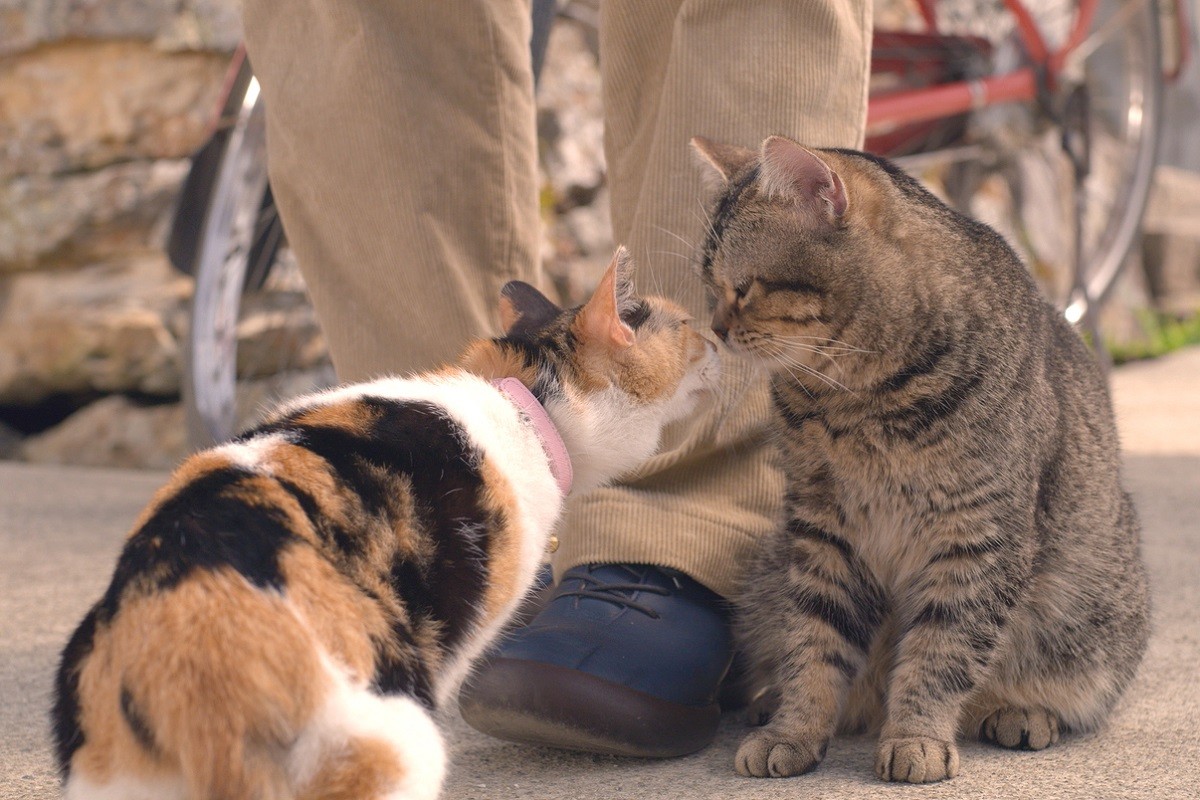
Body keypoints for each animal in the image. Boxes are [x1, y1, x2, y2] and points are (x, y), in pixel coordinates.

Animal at [696, 136, 1152, 782]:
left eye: (743, 287)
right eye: (709, 288)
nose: (713, 330)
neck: (852, 399)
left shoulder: (977, 535)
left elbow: (941, 653)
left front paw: (916, 736)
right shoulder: (823, 530)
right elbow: (813, 643)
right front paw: (794, 729)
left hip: (1091, 615)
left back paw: (1020, 713)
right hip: (767, 576)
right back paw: (775, 706)